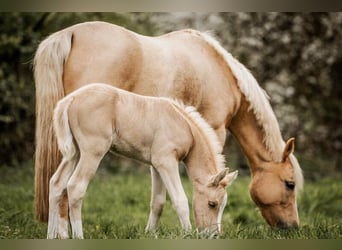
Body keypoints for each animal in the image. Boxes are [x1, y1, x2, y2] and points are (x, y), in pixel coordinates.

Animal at [48, 82, 238, 238]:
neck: (184, 126)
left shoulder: (156, 166)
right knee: (75, 186)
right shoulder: (166, 162)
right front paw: (188, 234)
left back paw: (51, 236)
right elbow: (180, 200)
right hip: (92, 152)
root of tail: (70, 99)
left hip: (74, 153)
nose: (214, 235)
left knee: (56, 183)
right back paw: (79, 237)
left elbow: (158, 202)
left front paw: (150, 233)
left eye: (223, 205)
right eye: (212, 204)